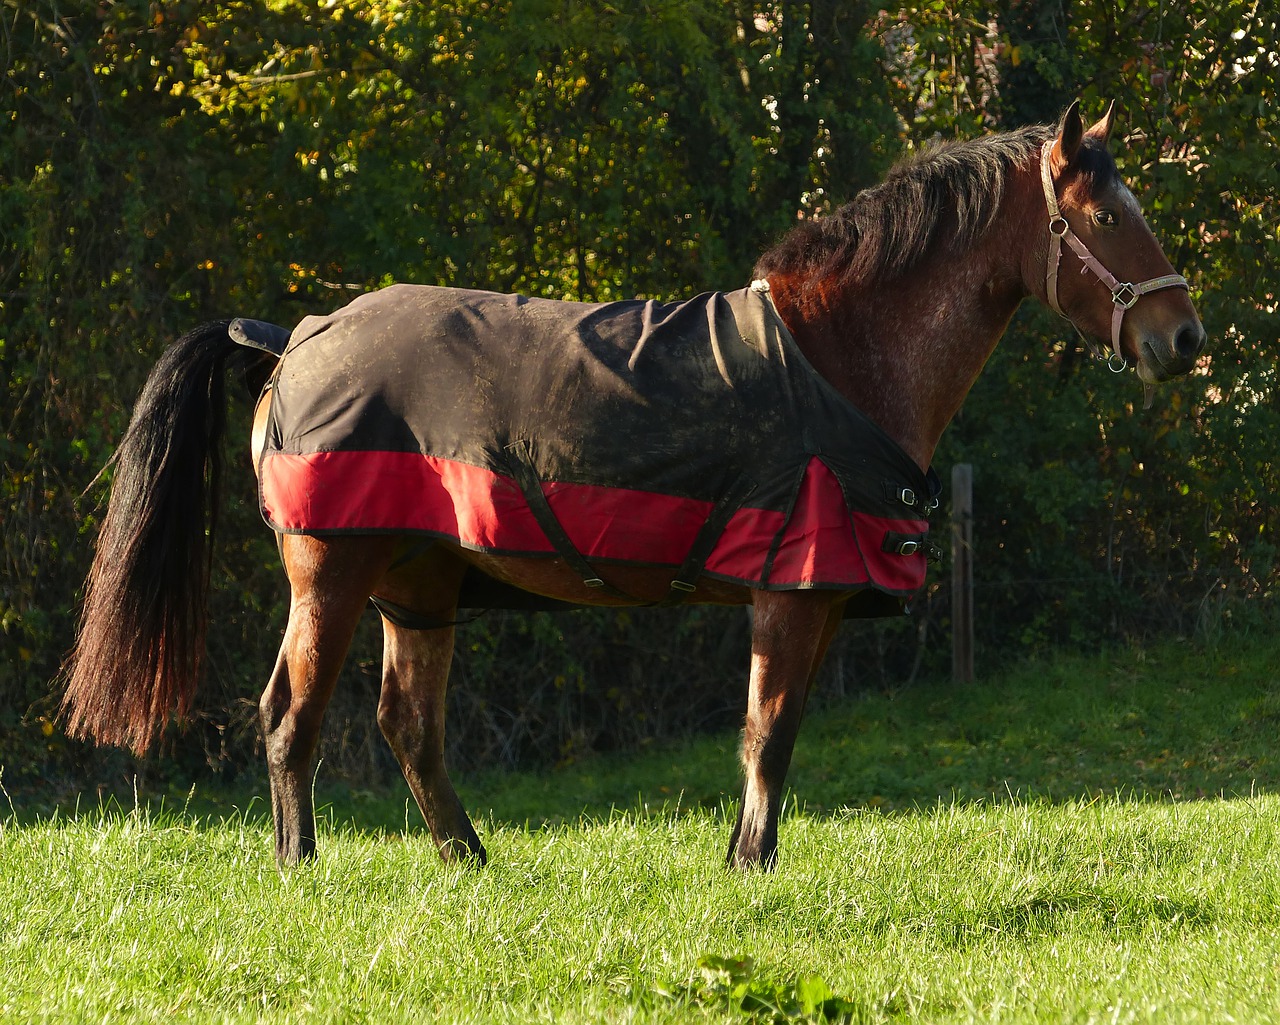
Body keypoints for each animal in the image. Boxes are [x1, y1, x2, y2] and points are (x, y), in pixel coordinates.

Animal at [61, 101, 1205, 870]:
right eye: (1106, 219)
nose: (1181, 338)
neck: (839, 357)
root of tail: (293, 332)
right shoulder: (790, 593)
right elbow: (769, 731)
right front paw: (749, 869)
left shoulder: (805, 599)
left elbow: (772, 732)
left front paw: (744, 861)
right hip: (331, 576)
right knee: (288, 716)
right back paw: (303, 865)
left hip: (417, 589)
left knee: (408, 725)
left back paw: (468, 861)